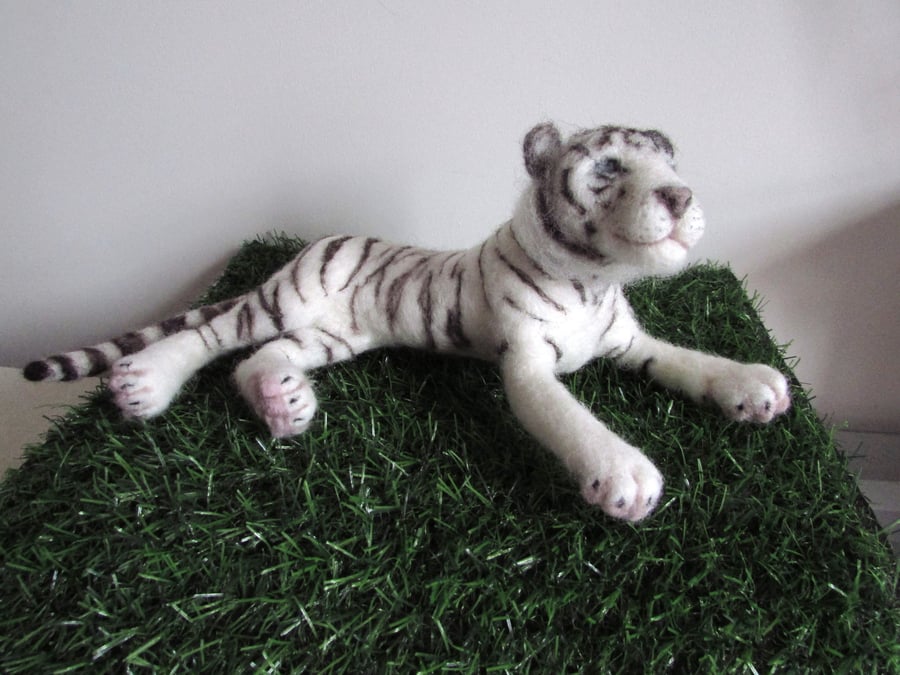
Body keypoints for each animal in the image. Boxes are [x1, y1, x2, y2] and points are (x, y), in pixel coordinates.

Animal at [23, 122, 791, 522]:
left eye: (669, 160)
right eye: (607, 166)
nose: (680, 195)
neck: (595, 281)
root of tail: (310, 246)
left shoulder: (629, 341)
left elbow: (692, 360)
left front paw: (754, 386)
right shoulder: (526, 363)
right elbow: (570, 417)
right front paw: (623, 472)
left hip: (330, 336)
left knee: (256, 360)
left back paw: (283, 404)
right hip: (283, 301)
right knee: (214, 334)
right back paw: (145, 385)